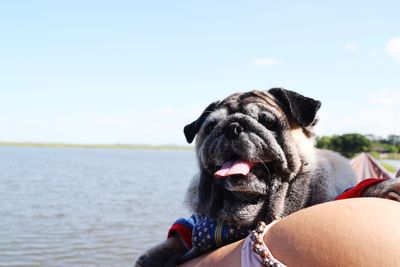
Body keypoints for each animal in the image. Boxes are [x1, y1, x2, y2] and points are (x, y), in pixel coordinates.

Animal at [134, 89, 400, 266]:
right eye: (210, 128)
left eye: (267, 122)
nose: (232, 127)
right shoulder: (192, 225)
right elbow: (174, 241)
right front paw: (152, 257)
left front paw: (383, 188)